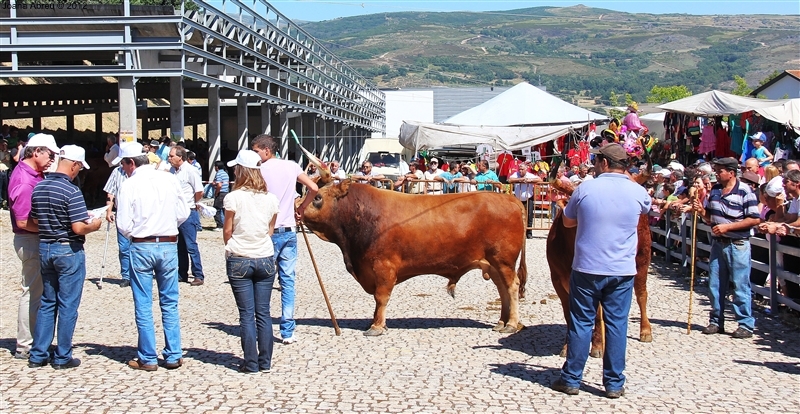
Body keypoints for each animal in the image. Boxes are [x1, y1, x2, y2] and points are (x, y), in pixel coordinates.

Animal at [296, 179, 528, 336]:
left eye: (317, 197)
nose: (296, 209)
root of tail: (509, 198)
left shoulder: (384, 267)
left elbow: (381, 297)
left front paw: (377, 326)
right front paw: (375, 321)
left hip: (503, 261)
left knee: (512, 287)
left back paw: (511, 324)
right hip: (494, 265)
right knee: (503, 290)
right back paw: (502, 322)